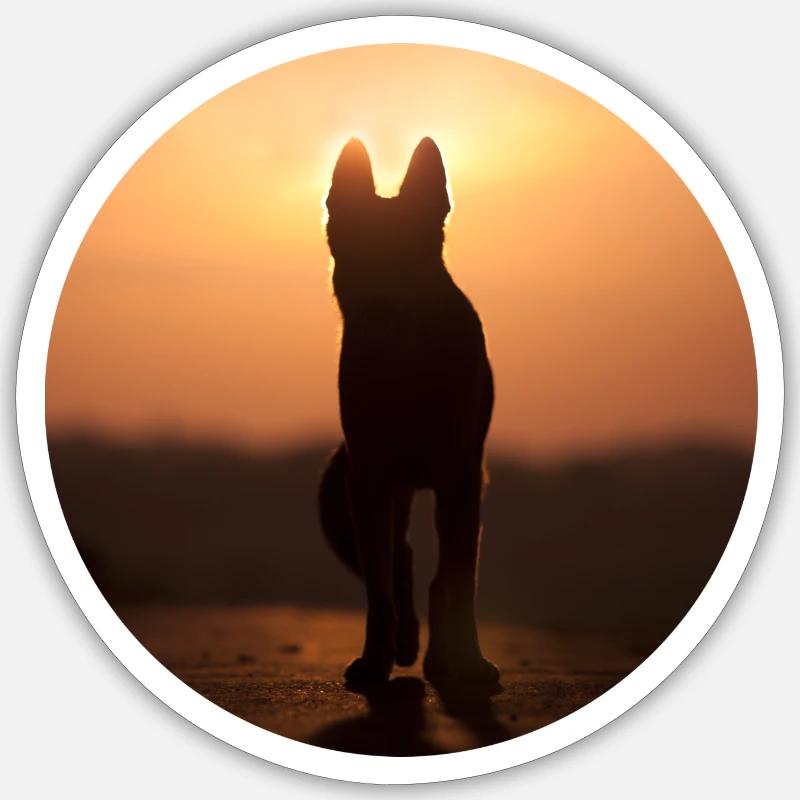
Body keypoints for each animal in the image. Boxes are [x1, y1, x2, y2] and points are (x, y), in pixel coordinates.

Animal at [319, 137, 498, 686]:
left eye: (408, 258)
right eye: (358, 253)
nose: (379, 311)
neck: (406, 362)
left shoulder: (461, 477)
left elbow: (459, 579)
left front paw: (469, 661)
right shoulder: (370, 480)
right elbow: (381, 589)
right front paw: (374, 660)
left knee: (438, 574)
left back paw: (441, 656)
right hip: (361, 497)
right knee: (402, 565)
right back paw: (405, 643)